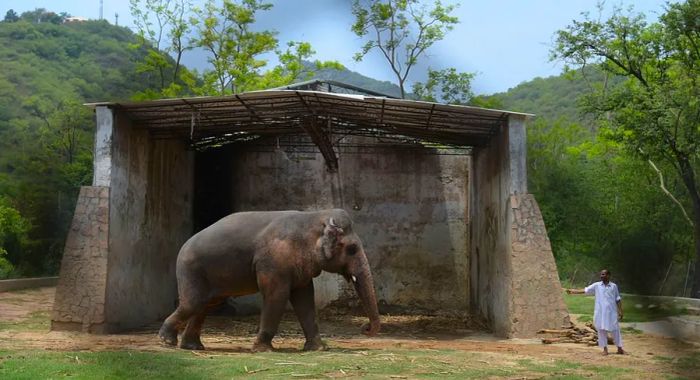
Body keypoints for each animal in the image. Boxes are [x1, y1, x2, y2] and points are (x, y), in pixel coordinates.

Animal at [157, 209, 382, 352]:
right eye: (352, 249)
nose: (365, 328)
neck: (315, 216)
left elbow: (304, 298)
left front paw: (318, 349)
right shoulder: (274, 262)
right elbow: (277, 295)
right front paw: (263, 350)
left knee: (205, 305)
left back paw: (191, 347)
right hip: (191, 270)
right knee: (193, 303)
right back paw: (166, 341)